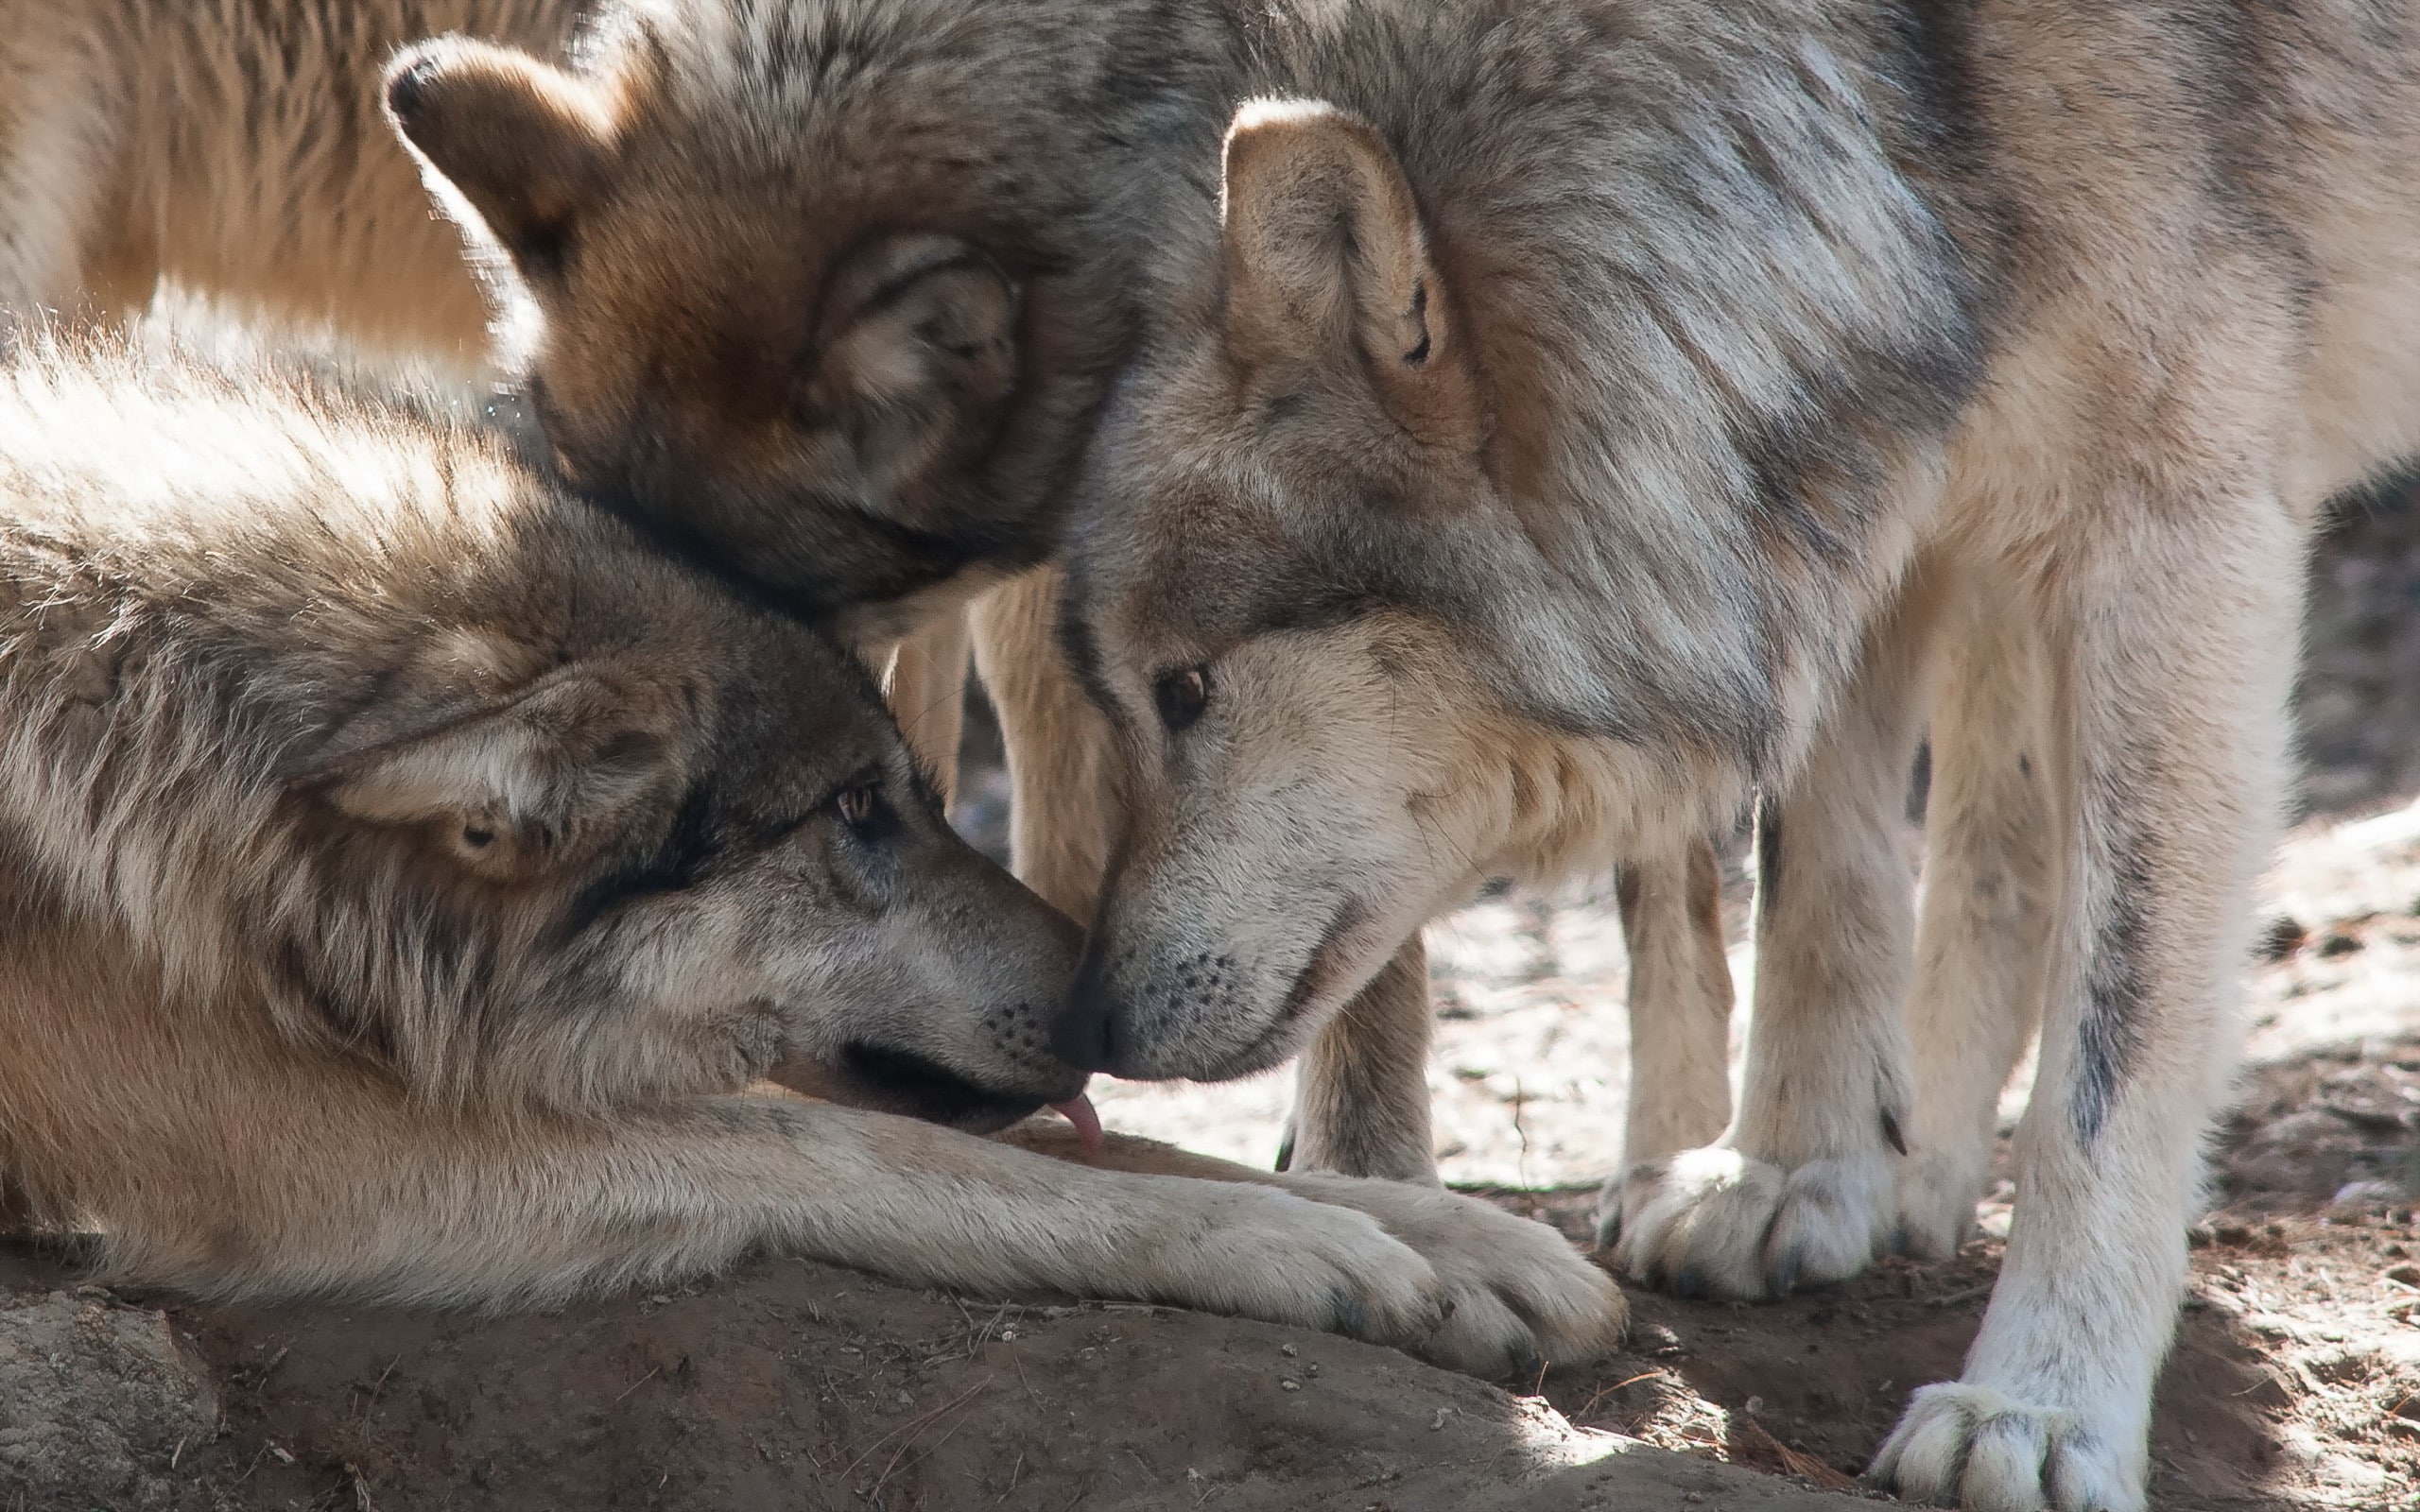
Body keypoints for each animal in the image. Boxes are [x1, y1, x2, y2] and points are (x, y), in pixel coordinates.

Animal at [0, 339, 1625, 1376]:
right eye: (851, 813)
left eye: (912, 793)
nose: (1108, 1009)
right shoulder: (306, 1146)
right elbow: (876, 1151)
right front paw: (1283, 1240)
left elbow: (1044, 1139)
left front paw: (1460, 1240)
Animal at [1030, 3, 2420, 1507]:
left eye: (1182, 691)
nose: (1088, 1023)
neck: (1901, 104)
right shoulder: (1869, 487)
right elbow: (1820, 877)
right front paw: (1791, 1181)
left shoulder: (2179, 529)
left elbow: (2109, 1056)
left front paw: (2043, 1408)